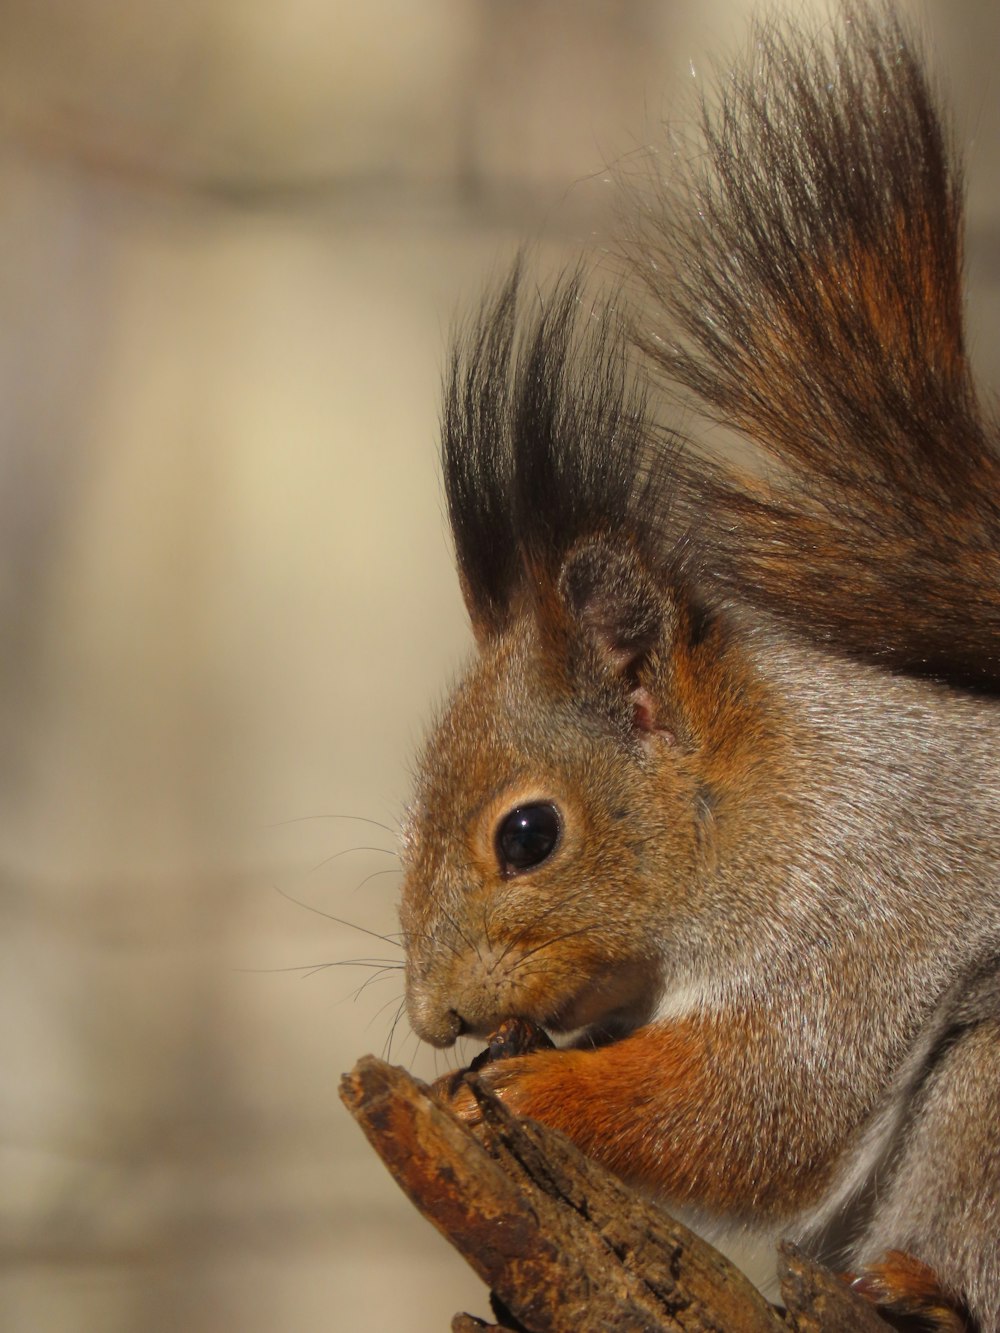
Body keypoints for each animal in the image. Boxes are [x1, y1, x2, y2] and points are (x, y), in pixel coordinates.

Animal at [394, 5, 1000, 1327]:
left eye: (527, 835)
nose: (432, 1016)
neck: (747, 793)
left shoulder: (861, 893)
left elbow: (762, 1094)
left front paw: (527, 1091)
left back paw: (917, 1283)